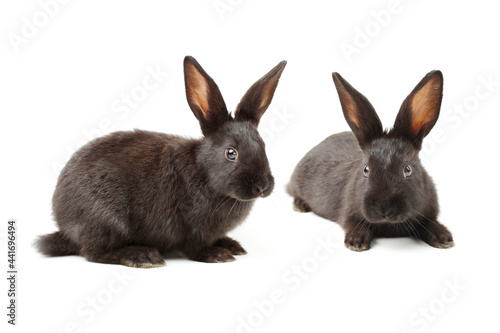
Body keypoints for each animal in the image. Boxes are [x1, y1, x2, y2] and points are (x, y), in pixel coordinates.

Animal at [37, 55, 288, 266]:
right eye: (231, 153)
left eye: (263, 145)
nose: (262, 185)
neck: (204, 173)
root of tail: (65, 226)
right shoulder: (189, 226)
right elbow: (194, 247)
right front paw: (217, 254)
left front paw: (231, 245)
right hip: (106, 219)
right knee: (93, 252)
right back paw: (141, 256)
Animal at [286, 70, 454, 252]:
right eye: (366, 170)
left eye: (407, 169)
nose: (384, 208)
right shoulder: (348, 213)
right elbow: (355, 225)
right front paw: (356, 242)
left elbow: (430, 224)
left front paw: (444, 238)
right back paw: (300, 205)